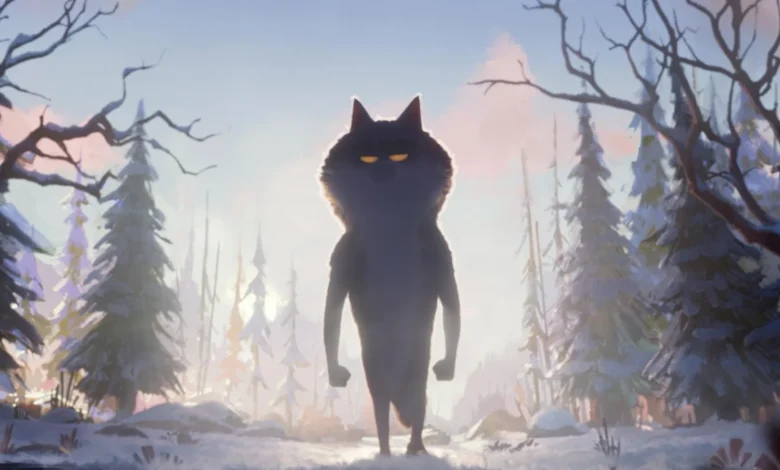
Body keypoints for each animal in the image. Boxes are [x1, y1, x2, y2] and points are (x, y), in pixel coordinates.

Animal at [320, 95, 461, 456]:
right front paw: (336, 373)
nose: (382, 168)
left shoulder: (438, 251)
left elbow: (452, 304)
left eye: (400, 154)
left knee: (417, 406)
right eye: (366, 156)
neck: (390, 227)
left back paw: (414, 449)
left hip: (414, 372)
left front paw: (447, 367)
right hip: (377, 374)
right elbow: (332, 312)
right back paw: (385, 451)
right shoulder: (345, 254)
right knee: (382, 410)